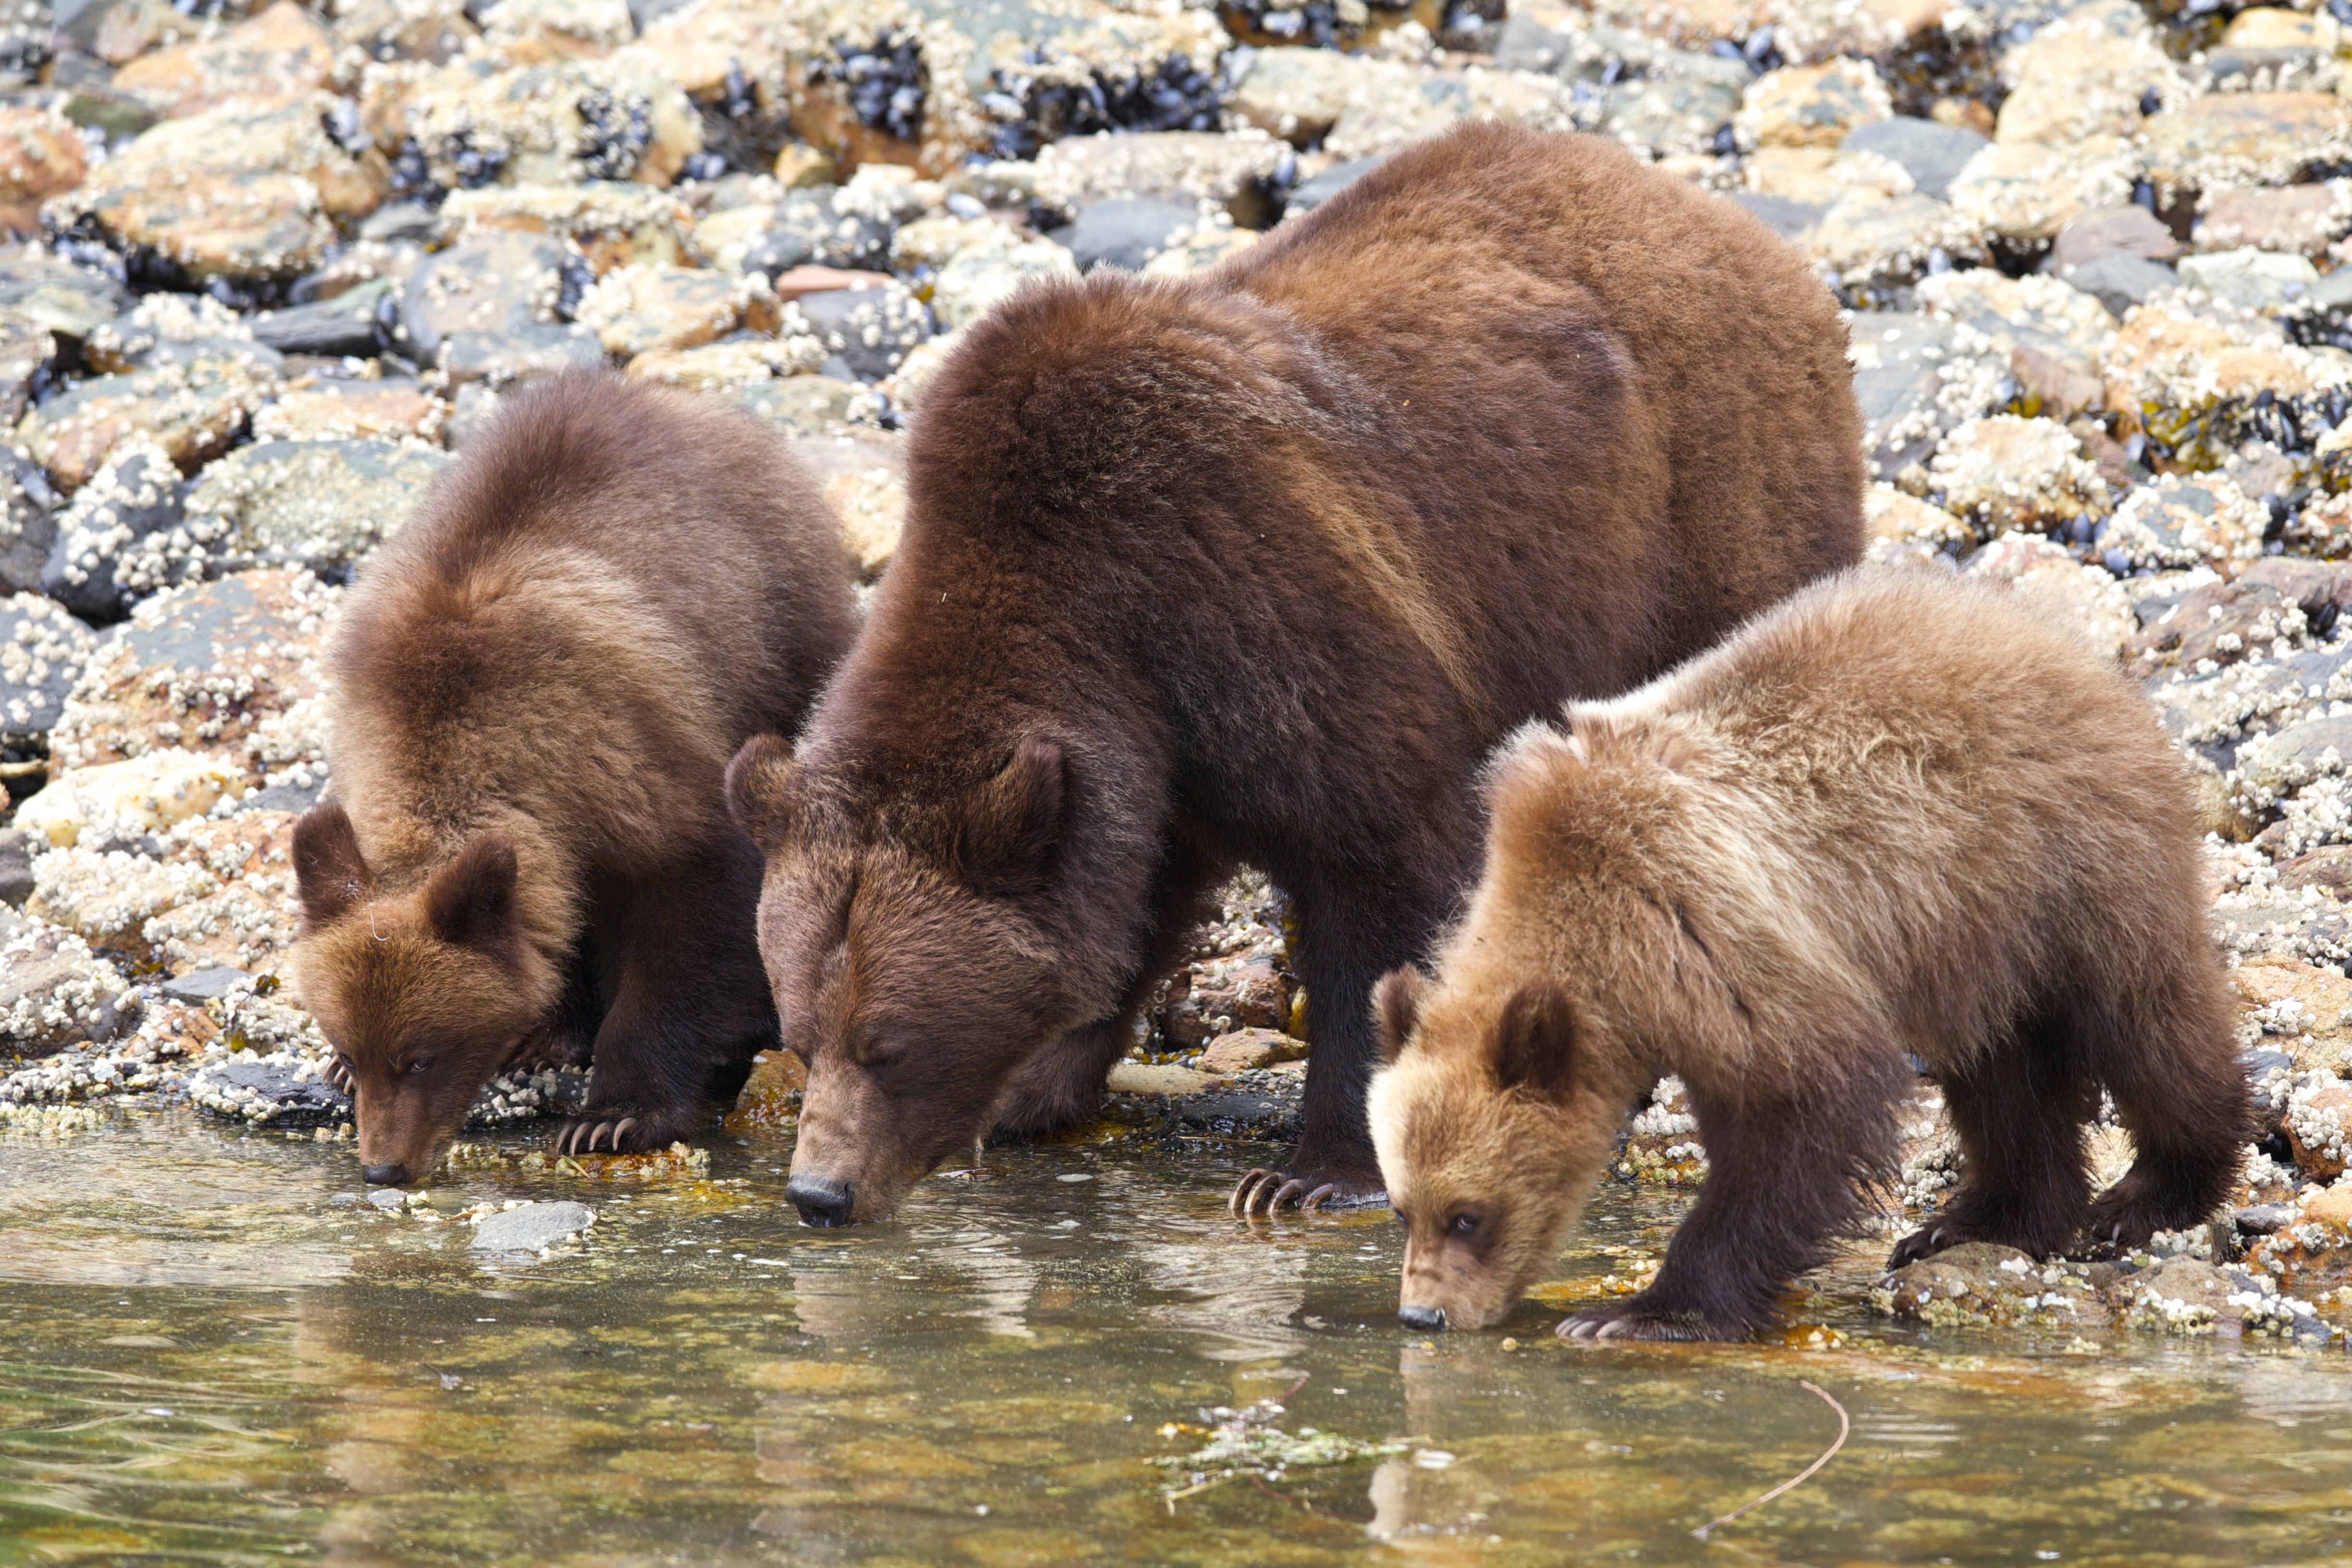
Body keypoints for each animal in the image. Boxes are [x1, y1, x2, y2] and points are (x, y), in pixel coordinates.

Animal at [291, 369, 857, 1186]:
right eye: (353, 1048)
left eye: (422, 1057)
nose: (385, 1168)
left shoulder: (632, 761)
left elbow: (695, 919)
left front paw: (615, 1114)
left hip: (775, 633)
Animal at [724, 121, 1864, 1227]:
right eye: (801, 1030)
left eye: (889, 1043)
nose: (818, 1193)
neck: (1097, 621)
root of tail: (1740, 231)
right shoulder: (1156, 751)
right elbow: (1135, 900)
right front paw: (1034, 1085)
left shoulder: (1260, 597)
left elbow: (1379, 864)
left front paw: (1315, 1171)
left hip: (1707, 508)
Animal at [1368, 566, 2251, 1342]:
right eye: (1402, 1207)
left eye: (1468, 1215)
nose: (1423, 1315)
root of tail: (2066, 643)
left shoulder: (1703, 926)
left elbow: (1810, 1099)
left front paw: (1645, 1310)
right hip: (1972, 931)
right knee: (2003, 1067)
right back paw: (1977, 1221)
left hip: (2069, 858)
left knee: (2144, 1018)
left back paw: (2149, 1195)